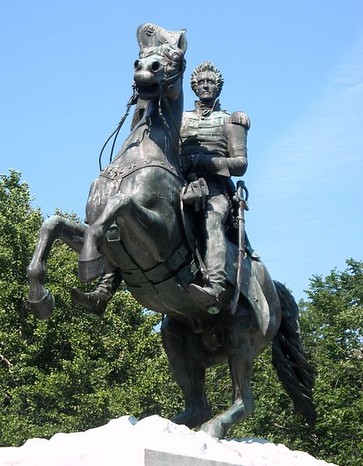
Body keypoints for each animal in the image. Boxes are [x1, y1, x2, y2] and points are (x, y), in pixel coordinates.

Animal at [27, 24, 316, 440]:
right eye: (140, 54)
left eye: (176, 59)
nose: (144, 70)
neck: (143, 152)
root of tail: (274, 288)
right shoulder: (106, 237)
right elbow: (54, 225)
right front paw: (42, 297)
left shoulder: (157, 235)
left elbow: (118, 207)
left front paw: (86, 264)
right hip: (177, 340)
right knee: (197, 404)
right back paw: (155, 426)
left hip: (242, 340)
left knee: (243, 400)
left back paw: (211, 429)